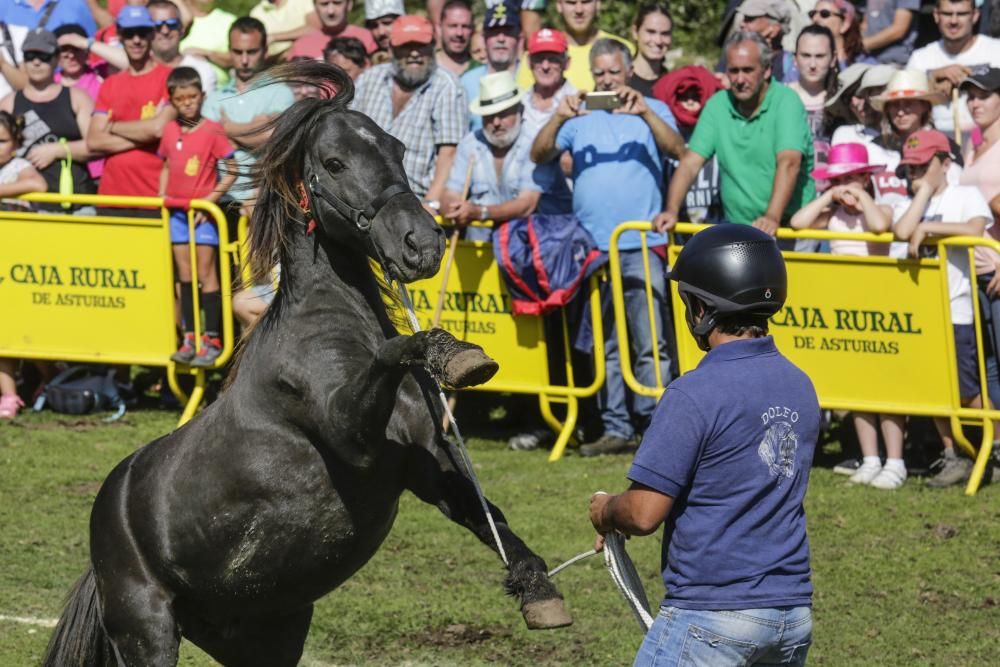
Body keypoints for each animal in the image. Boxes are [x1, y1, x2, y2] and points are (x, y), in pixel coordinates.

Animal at [43, 62, 572, 667]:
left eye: (396, 147)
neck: (328, 325)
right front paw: (454, 354)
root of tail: (104, 527)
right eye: (335, 162)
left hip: (267, 635)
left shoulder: (424, 465)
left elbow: (487, 516)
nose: (422, 243)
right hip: (145, 629)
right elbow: (395, 351)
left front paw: (539, 590)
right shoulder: (353, 436)